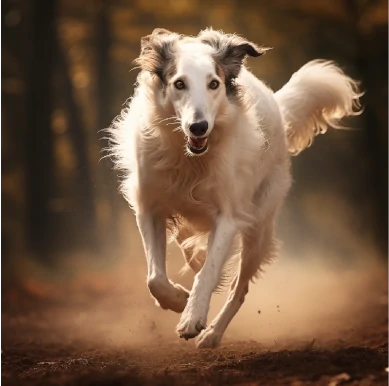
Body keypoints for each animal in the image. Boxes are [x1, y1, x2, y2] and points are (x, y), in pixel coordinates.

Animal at [107, 26, 360, 346]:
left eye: (214, 84)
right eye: (179, 83)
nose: (199, 127)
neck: (190, 159)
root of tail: (277, 107)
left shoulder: (229, 216)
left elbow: (209, 272)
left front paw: (192, 317)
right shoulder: (149, 207)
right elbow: (155, 278)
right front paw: (177, 300)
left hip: (258, 230)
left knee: (239, 291)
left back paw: (213, 334)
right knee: (191, 251)